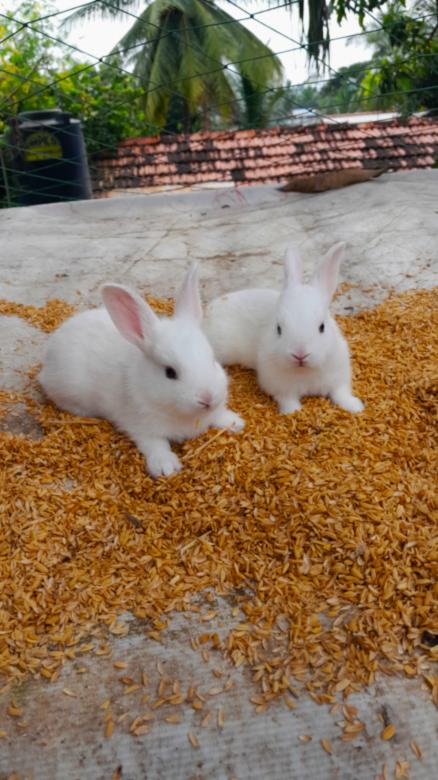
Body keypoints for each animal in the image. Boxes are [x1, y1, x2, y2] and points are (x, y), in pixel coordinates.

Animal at [38, 264, 244, 478]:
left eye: (212, 360)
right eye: (170, 373)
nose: (207, 399)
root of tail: (49, 352)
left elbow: (218, 416)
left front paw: (235, 422)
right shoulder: (142, 427)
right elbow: (156, 445)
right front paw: (166, 467)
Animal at [204, 242, 364, 415]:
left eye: (322, 327)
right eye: (279, 328)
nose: (300, 354)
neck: (304, 371)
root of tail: (207, 312)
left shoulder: (339, 379)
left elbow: (341, 394)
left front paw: (356, 407)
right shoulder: (282, 389)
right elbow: (288, 401)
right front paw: (293, 412)